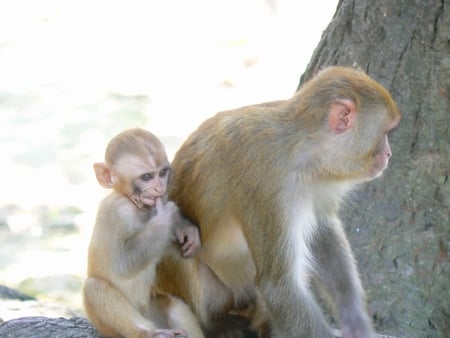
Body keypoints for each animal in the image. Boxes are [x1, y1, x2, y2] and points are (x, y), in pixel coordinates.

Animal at [83, 128, 203, 336]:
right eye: (146, 177)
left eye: (162, 173)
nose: (160, 188)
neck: (134, 204)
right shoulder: (115, 212)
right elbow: (122, 264)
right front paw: (166, 218)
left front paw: (183, 226)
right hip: (109, 328)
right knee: (94, 288)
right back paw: (151, 333)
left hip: (151, 311)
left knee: (174, 305)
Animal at [158, 66, 400, 338]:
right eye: (386, 132)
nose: (388, 153)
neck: (303, 151)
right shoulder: (269, 185)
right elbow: (279, 286)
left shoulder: (320, 180)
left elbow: (321, 232)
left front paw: (355, 320)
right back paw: (214, 323)